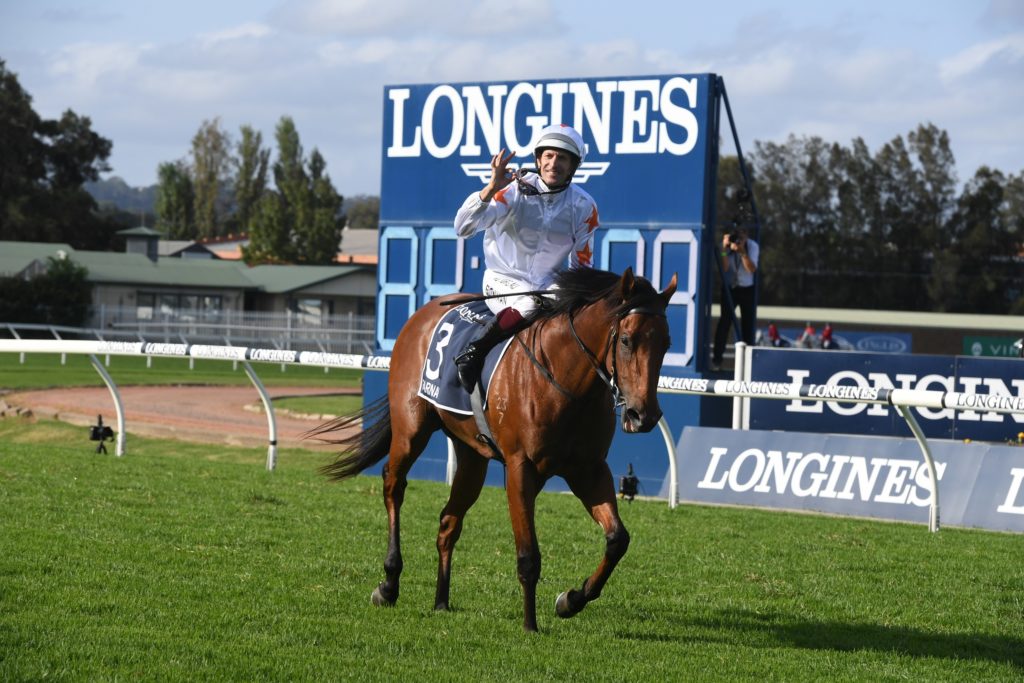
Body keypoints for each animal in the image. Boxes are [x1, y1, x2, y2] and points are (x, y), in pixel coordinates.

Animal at [315, 266, 675, 630]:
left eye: (666, 343)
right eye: (627, 340)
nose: (644, 415)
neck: (564, 380)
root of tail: (421, 315)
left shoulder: (588, 469)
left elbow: (617, 539)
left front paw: (571, 599)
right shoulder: (520, 468)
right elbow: (529, 554)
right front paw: (530, 625)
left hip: (472, 456)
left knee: (448, 521)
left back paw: (441, 600)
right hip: (411, 429)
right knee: (393, 485)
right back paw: (389, 583)